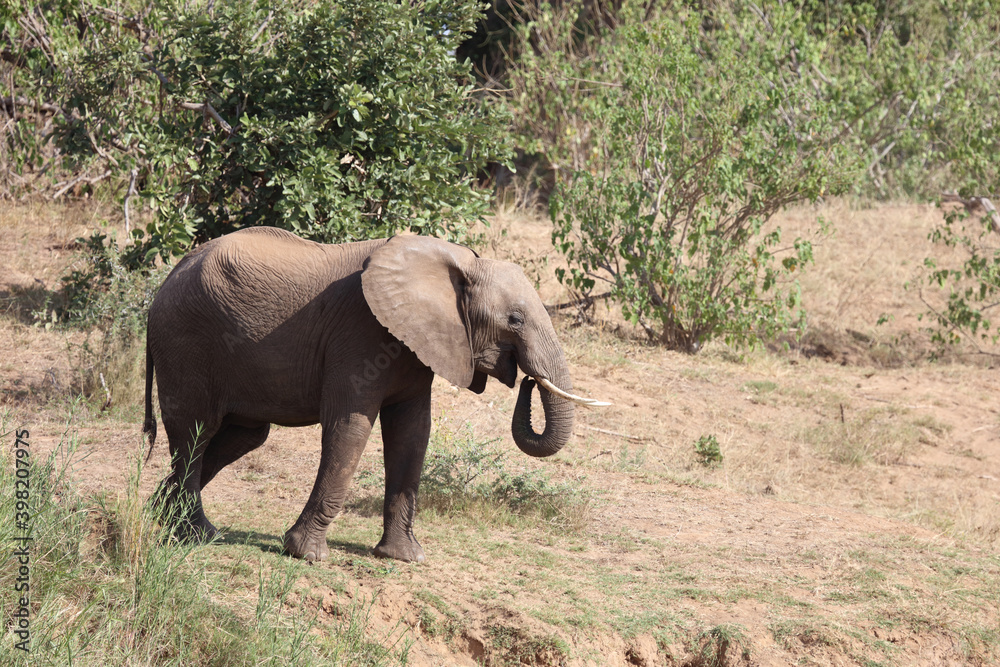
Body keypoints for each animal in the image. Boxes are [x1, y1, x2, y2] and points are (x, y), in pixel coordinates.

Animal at [143, 227, 600, 560]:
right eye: (515, 320)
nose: (527, 379)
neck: (459, 263)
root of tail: (166, 278)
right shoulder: (360, 333)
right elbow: (350, 428)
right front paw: (307, 555)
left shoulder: (415, 347)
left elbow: (412, 434)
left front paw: (404, 558)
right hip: (186, 341)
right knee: (196, 430)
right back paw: (198, 535)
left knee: (243, 436)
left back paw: (161, 513)